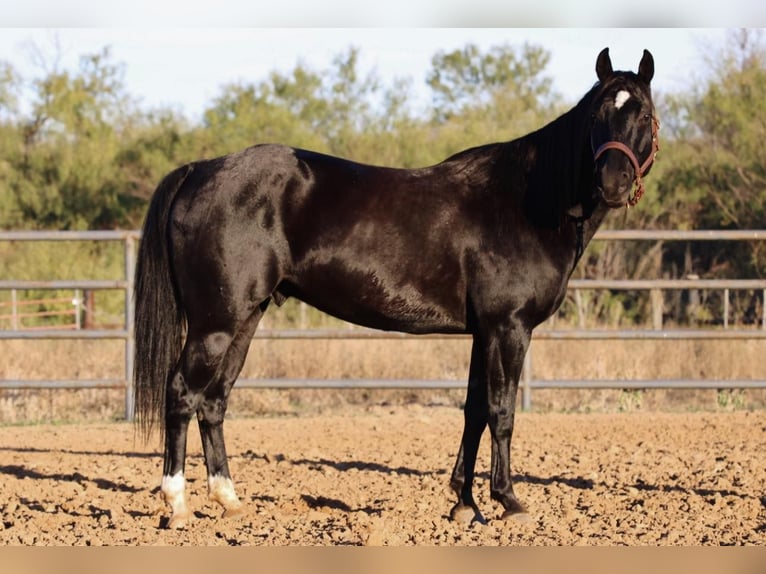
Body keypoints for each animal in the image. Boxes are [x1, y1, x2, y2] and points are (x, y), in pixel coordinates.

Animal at [134, 49, 660, 532]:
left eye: (644, 113)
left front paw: (464, 503)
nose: (613, 182)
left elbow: (473, 411)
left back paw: (229, 500)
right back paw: (177, 504)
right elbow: (501, 411)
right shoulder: (508, 328)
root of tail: (200, 170)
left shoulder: (482, 332)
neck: (527, 202)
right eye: (597, 116)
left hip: (245, 318)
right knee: (182, 393)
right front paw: (509, 501)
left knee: (214, 400)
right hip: (215, 324)